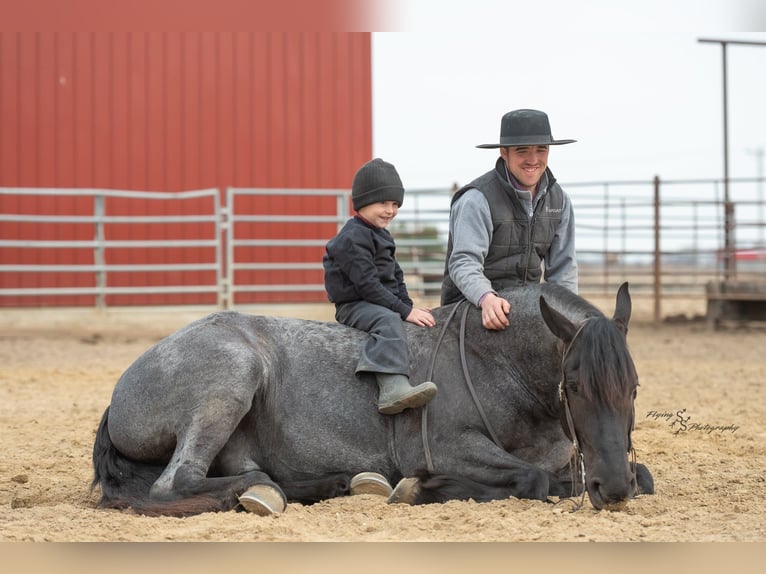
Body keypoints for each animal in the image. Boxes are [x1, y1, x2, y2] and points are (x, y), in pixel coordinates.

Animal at [91, 282, 653, 516]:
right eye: (575, 385)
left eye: (633, 387)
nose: (612, 488)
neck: (496, 359)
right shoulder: (444, 448)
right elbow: (532, 479)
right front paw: (421, 488)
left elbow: (639, 475)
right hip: (232, 377)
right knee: (178, 485)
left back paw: (337, 483)